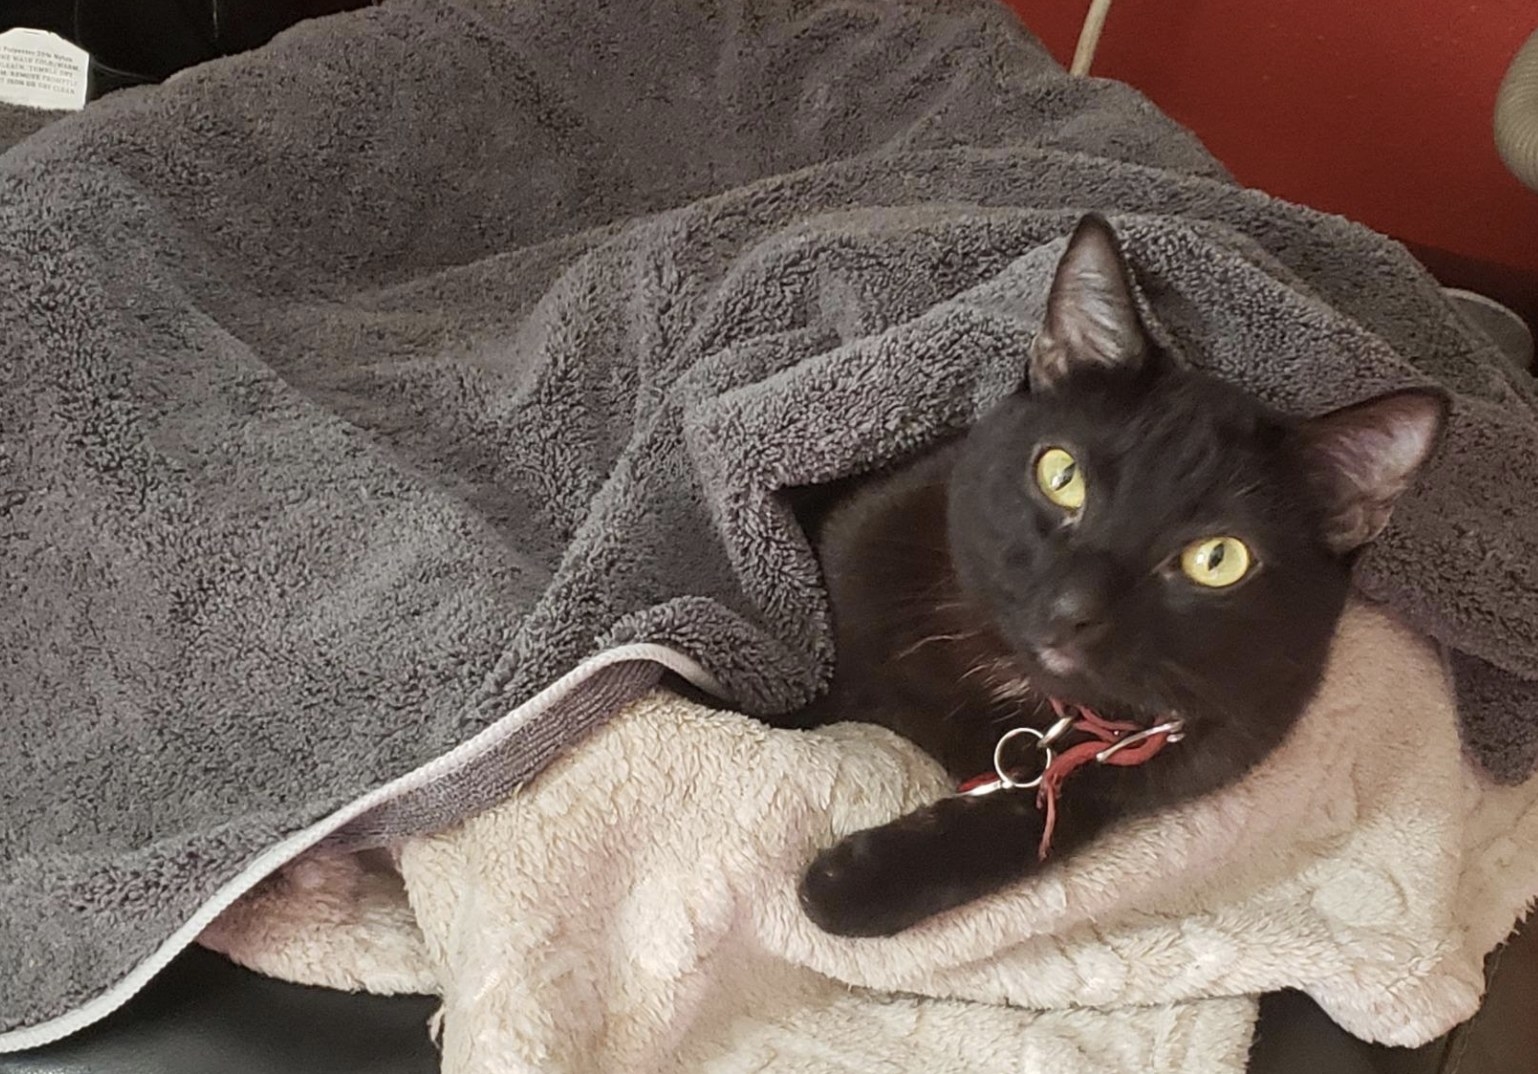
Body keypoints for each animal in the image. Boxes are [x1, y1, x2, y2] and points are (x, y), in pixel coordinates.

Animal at [787, 213, 1445, 935]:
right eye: (1061, 475)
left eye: (1218, 559)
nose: (1076, 607)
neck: (1024, 692)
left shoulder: (1174, 754)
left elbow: (1040, 826)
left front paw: (853, 882)